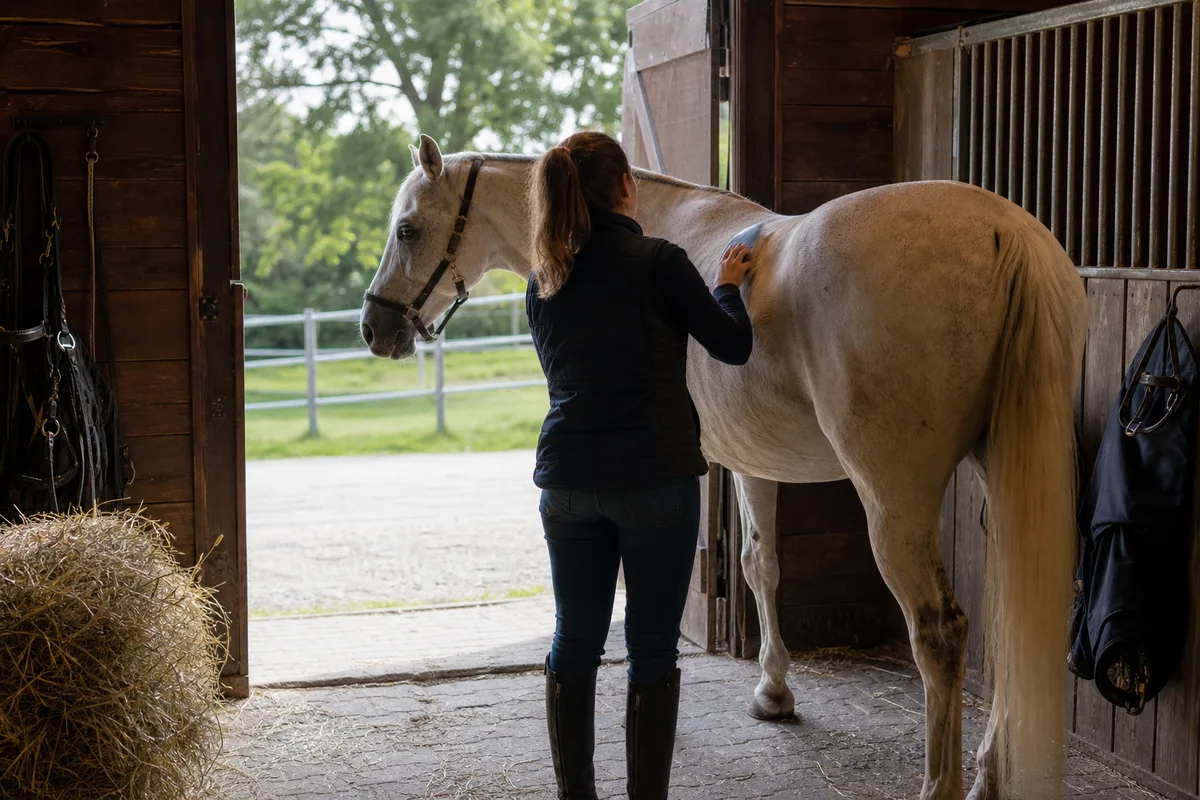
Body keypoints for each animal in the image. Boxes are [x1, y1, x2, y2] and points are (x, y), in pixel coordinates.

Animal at [360, 134, 1088, 800]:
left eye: (407, 228)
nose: (374, 327)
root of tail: (1004, 233)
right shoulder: (752, 461)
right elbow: (761, 563)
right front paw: (774, 692)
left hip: (894, 499)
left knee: (941, 633)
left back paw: (944, 784)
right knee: (1009, 619)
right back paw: (990, 772)